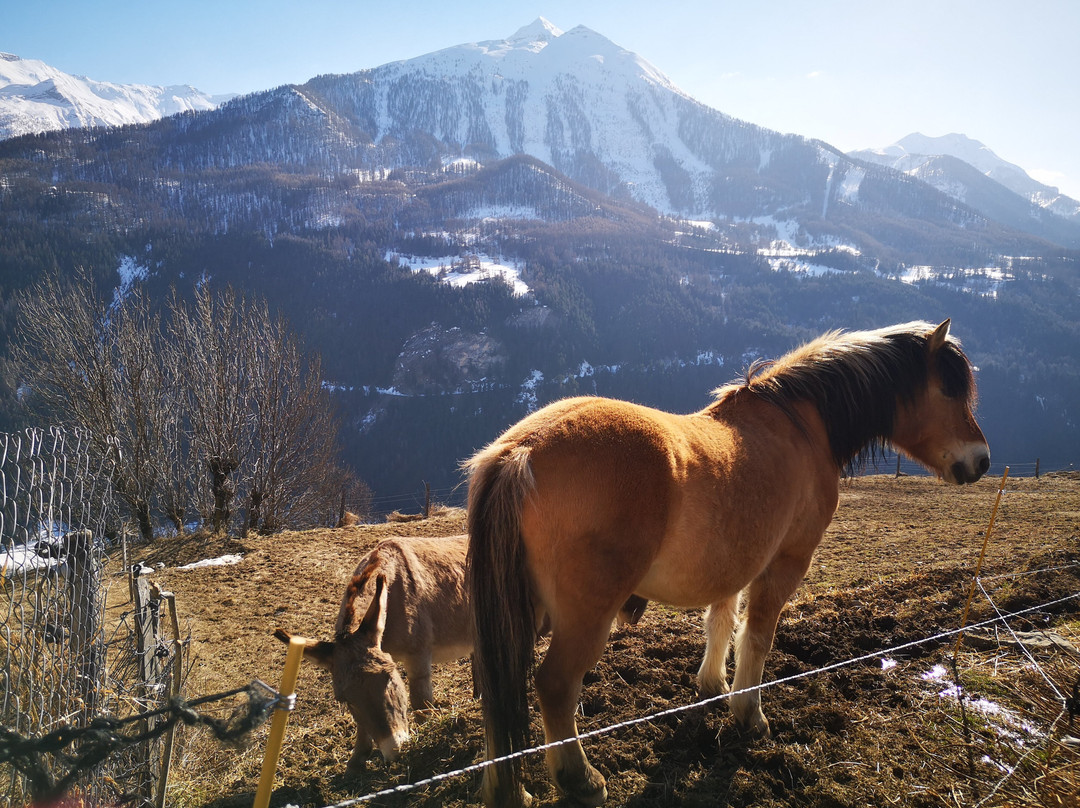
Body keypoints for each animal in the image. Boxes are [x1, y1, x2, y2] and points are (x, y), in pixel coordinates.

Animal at [464, 321, 989, 808]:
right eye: (948, 388)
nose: (981, 461)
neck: (800, 426)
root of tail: (522, 450)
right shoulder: (786, 562)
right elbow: (756, 637)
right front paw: (748, 715)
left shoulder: (735, 562)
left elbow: (721, 620)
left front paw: (713, 685)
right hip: (584, 616)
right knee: (554, 686)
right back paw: (582, 780)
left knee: (497, 690)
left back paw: (506, 789)